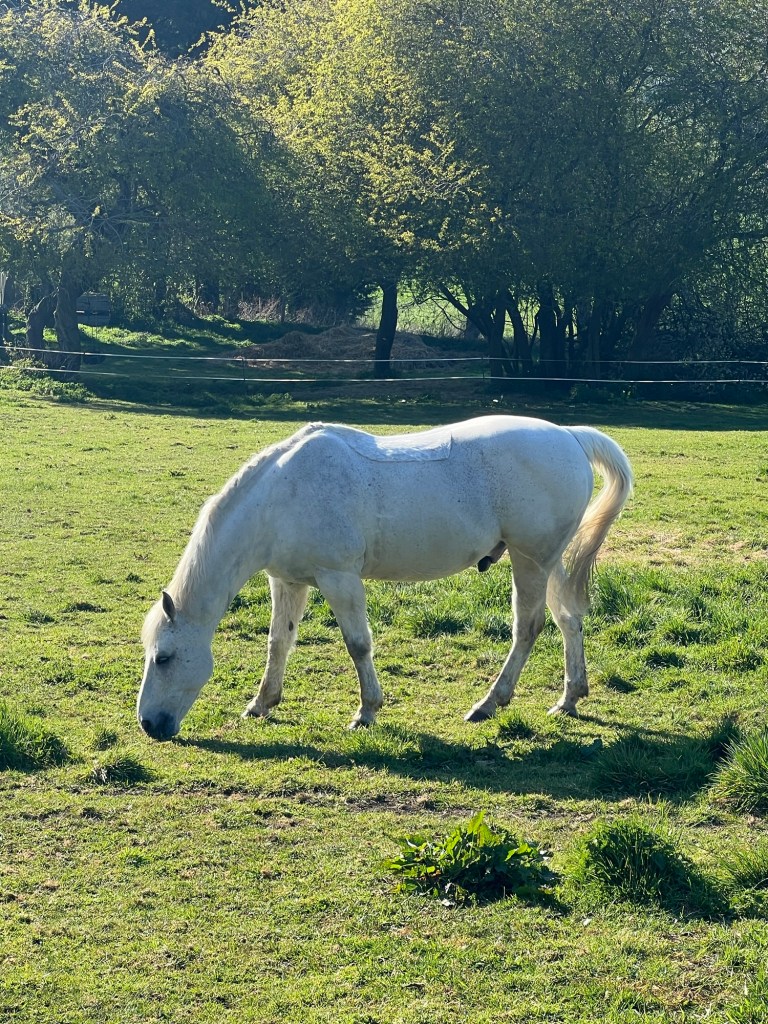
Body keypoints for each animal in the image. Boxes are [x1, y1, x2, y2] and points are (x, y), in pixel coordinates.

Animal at [137, 415, 633, 741]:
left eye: (163, 658)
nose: (149, 725)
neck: (281, 496)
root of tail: (568, 436)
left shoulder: (339, 579)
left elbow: (358, 645)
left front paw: (367, 711)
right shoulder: (288, 581)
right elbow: (279, 642)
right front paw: (261, 703)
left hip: (530, 562)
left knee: (527, 629)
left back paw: (489, 704)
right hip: (546, 561)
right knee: (569, 620)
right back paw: (570, 698)